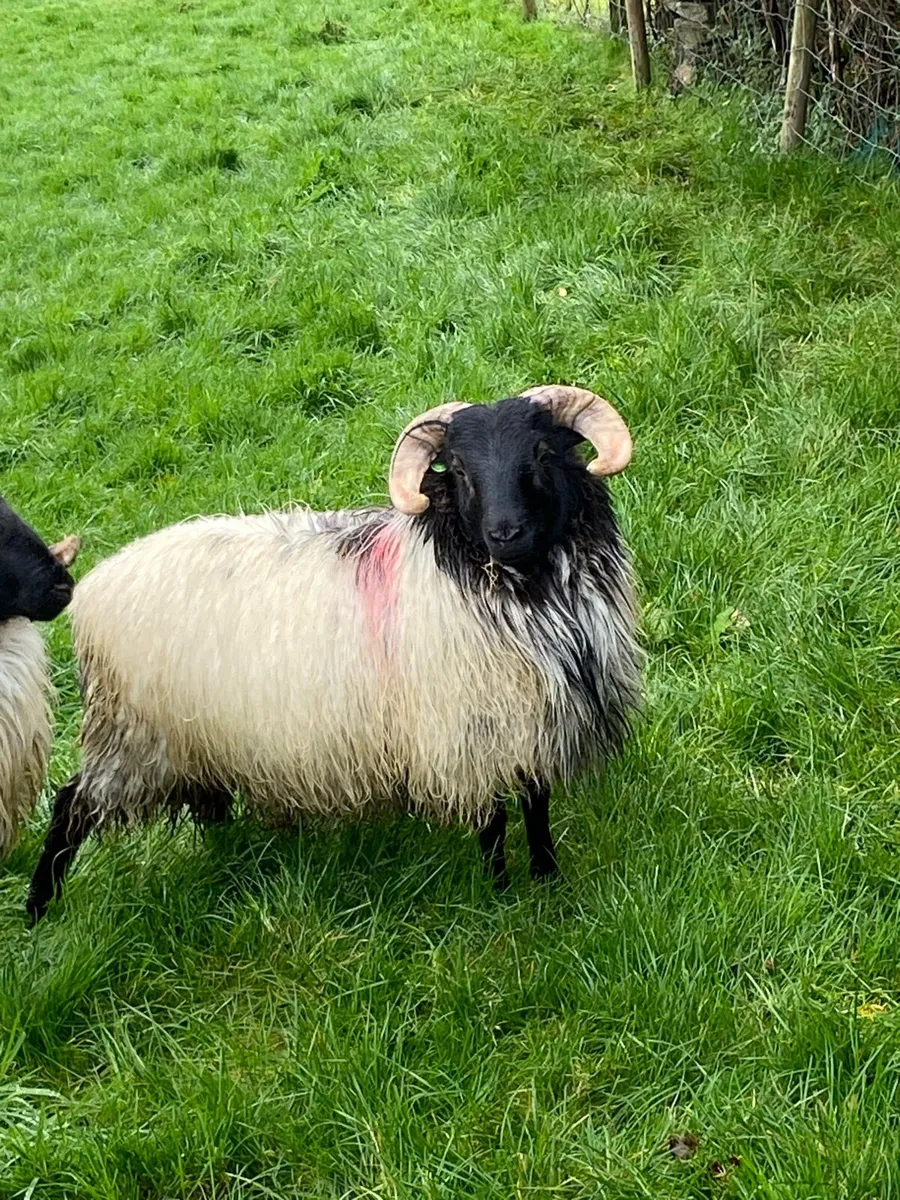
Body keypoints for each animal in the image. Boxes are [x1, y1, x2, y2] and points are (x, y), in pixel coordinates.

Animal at [27, 385, 640, 921]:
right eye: (460, 470)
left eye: (541, 453)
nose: (504, 533)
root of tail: (96, 589)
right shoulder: (465, 732)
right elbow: (493, 825)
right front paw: (502, 896)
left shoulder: (531, 721)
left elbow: (537, 808)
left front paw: (547, 880)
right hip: (133, 735)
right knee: (70, 807)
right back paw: (38, 908)